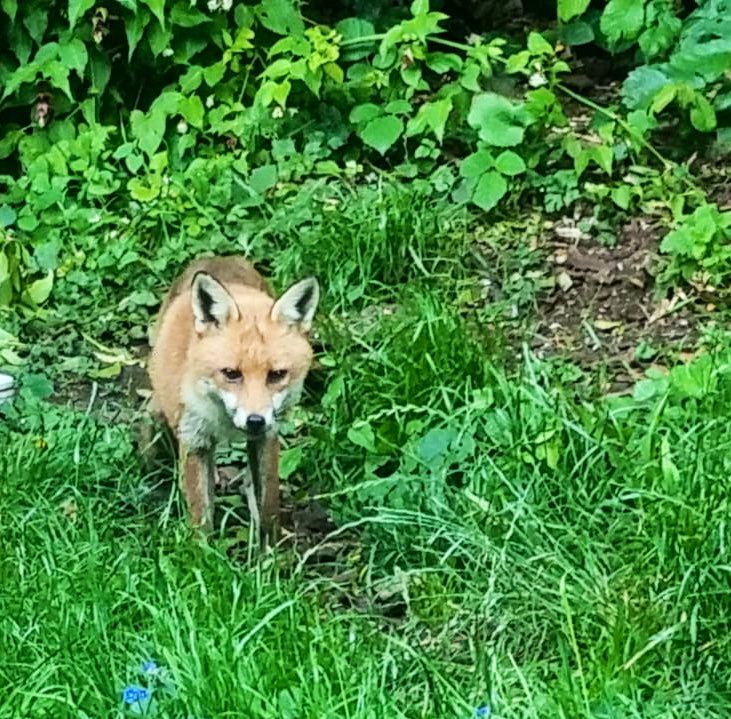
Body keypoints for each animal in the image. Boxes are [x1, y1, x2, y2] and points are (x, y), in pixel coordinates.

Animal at [147, 255, 319, 541]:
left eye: (277, 375)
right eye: (231, 373)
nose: (255, 420)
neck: (225, 420)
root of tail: (217, 257)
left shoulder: (266, 438)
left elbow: (267, 506)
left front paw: (269, 550)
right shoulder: (194, 439)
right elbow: (201, 516)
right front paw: (203, 550)